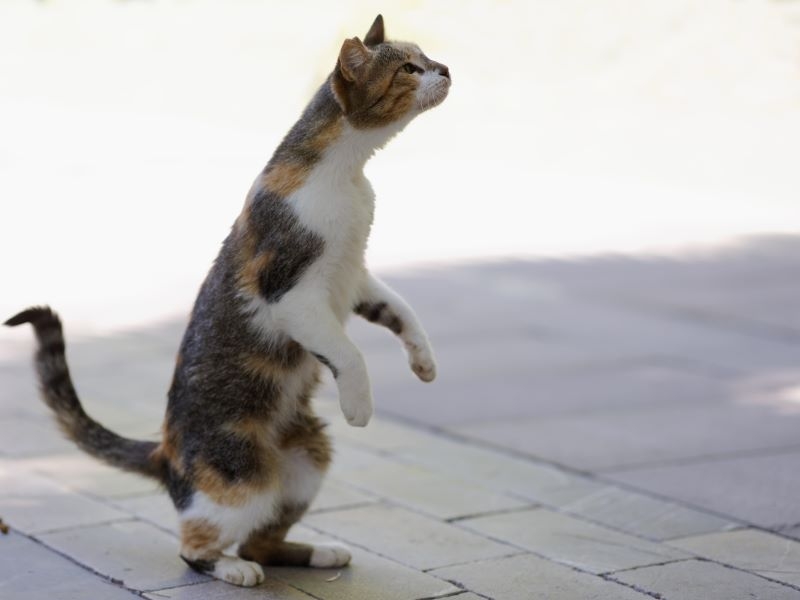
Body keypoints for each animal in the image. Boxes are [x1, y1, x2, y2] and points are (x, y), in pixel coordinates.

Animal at [3, 12, 450, 584]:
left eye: (426, 58)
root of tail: (166, 454)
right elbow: (348, 353)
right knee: (199, 543)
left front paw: (424, 362)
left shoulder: (355, 276)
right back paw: (232, 568)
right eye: (409, 69)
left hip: (308, 458)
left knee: (264, 538)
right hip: (242, 476)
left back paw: (319, 552)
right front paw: (360, 405)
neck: (346, 173)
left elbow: (401, 311)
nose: (446, 68)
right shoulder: (289, 293)